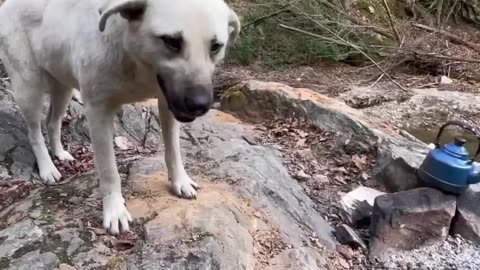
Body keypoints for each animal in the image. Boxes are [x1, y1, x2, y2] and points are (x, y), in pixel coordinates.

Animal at [0, 0, 240, 233]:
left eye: (216, 46)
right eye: (171, 41)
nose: (200, 104)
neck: (133, 57)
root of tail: (8, 4)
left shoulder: (167, 104)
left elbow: (173, 151)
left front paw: (180, 181)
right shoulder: (98, 113)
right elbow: (109, 171)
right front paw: (114, 211)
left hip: (63, 87)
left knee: (52, 122)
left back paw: (59, 153)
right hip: (28, 87)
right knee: (34, 133)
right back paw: (47, 168)